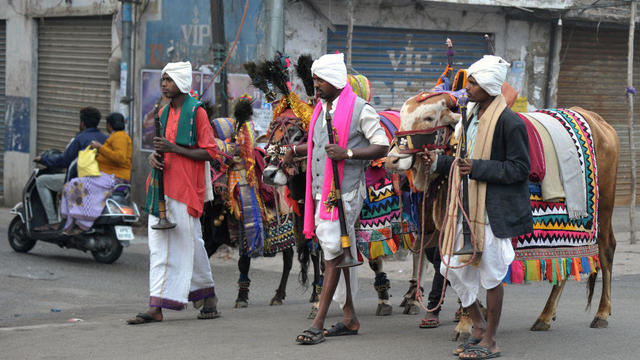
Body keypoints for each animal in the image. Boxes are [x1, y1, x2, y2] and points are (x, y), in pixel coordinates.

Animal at [384, 92, 620, 334]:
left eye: (429, 118)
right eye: (402, 117)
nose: (392, 160)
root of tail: (597, 120)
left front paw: (466, 323)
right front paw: (473, 314)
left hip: (604, 209)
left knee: (606, 250)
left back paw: (601, 313)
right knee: (567, 260)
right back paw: (546, 316)